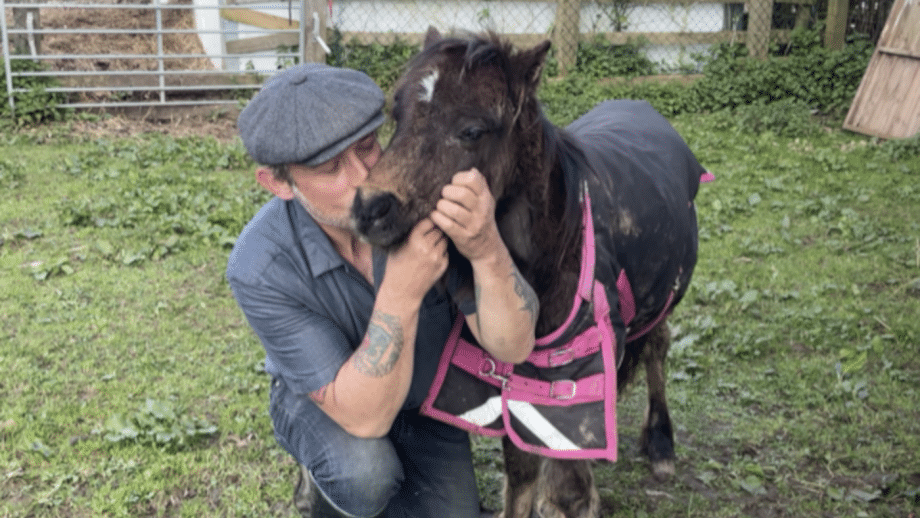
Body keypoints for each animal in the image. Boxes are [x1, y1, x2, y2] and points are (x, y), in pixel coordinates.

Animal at [351, 28, 709, 518]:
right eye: (397, 113)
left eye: (472, 130)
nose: (370, 208)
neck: (557, 248)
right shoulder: (513, 376)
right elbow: (520, 471)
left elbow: (567, 488)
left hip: (660, 298)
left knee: (657, 345)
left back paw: (660, 445)